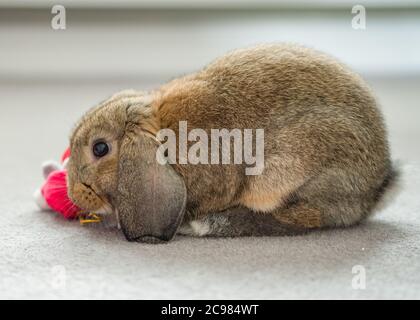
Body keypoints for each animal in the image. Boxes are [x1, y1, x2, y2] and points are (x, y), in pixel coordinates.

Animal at [67, 43, 396, 242]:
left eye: (100, 148)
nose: (73, 195)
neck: (162, 129)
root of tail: (376, 188)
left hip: (289, 176)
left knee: (297, 219)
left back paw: (204, 225)